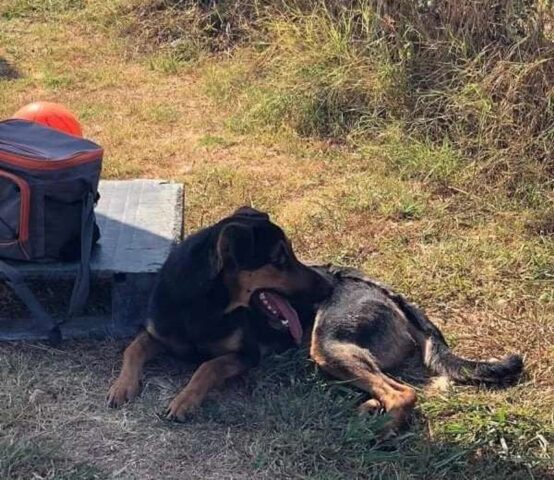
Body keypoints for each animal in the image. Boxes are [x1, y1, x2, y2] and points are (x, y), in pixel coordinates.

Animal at [108, 208, 520, 430]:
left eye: (291, 253)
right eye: (279, 259)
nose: (325, 285)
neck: (202, 303)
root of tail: (387, 292)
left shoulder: (245, 355)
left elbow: (206, 366)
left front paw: (184, 400)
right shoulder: (156, 334)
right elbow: (133, 348)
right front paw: (122, 386)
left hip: (327, 345)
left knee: (405, 393)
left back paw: (381, 430)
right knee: (389, 388)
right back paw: (370, 410)